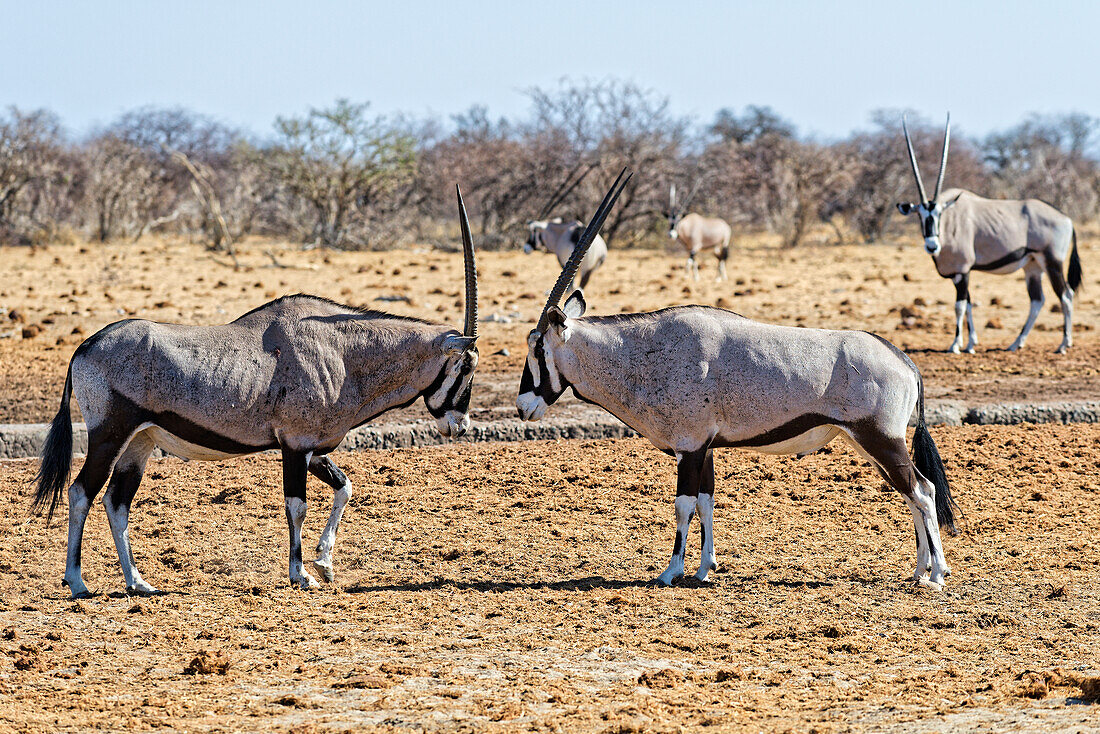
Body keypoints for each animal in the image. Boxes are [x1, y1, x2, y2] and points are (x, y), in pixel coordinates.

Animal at [33, 187, 481, 598]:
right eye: (467, 366)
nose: (460, 424)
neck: (342, 352)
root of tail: (84, 346)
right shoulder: (295, 446)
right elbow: (297, 505)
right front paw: (301, 574)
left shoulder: (314, 448)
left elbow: (345, 487)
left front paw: (324, 563)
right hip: (109, 434)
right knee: (81, 492)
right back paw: (77, 582)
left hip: (139, 443)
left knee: (116, 502)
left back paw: (138, 582)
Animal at [897, 116, 1086, 354]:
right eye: (919, 215)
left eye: (939, 214)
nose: (932, 246)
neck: (949, 224)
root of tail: (1065, 218)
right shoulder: (961, 273)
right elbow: (969, 305)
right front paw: (971, 344)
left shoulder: (962, 271)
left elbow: (959, 306)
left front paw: (955, 345)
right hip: (1032, 265)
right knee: (1037, 300)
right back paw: (1017, 343)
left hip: (1052, 262)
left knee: (1066, 296)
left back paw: (1063, 344)